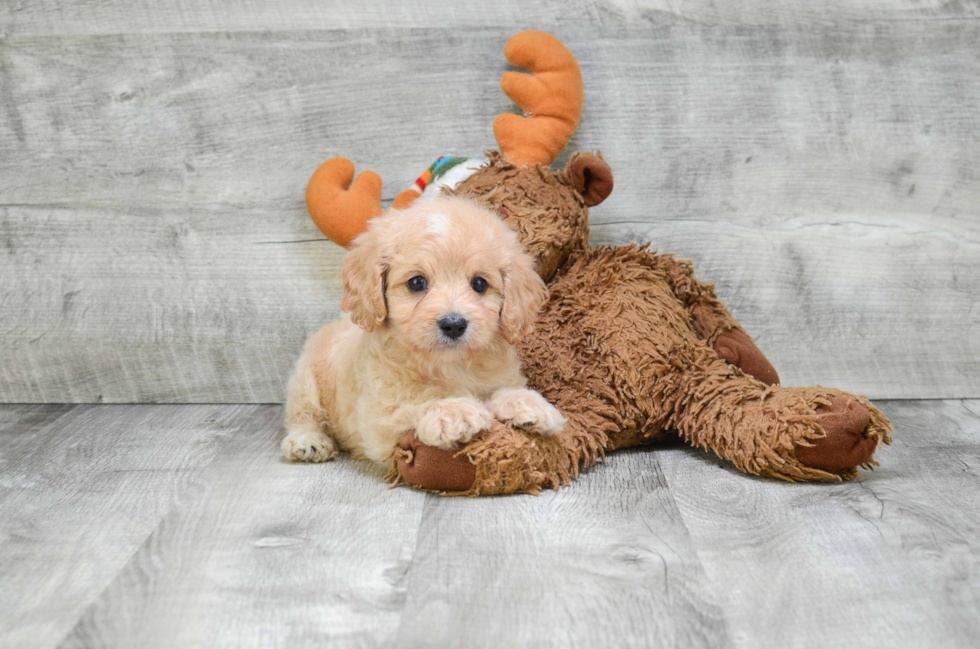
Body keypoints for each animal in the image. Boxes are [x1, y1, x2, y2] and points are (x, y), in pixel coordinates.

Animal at [282, 195, 568, 464]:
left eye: (479, 284)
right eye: (416, 283)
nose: (454, 324)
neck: (450, 365)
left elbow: (502, 389)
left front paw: (527, 404)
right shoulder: (378, 418)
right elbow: (413, 402)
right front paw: (453, 410)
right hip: (305, 381)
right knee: (303, 414)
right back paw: (308, 441)